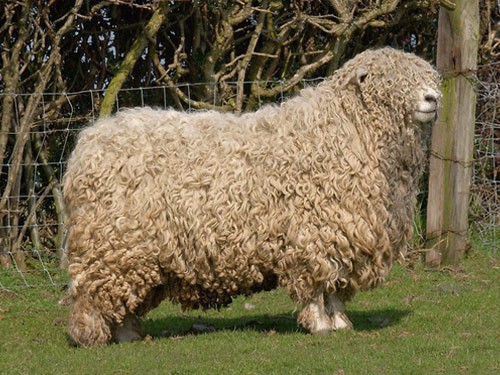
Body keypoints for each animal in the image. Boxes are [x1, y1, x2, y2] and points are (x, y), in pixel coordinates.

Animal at [63, 47, 442, 346]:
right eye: (388, 80)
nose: (432, 99)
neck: (344, 130)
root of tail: (88, 144)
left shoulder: (342, 233)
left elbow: (335, 287)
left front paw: (340, 323)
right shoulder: (313, 235)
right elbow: (318, 285)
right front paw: (320, 324)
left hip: (134, 251)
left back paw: (129, 333)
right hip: (111, 244)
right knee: (93, 294)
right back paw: (94, 335)